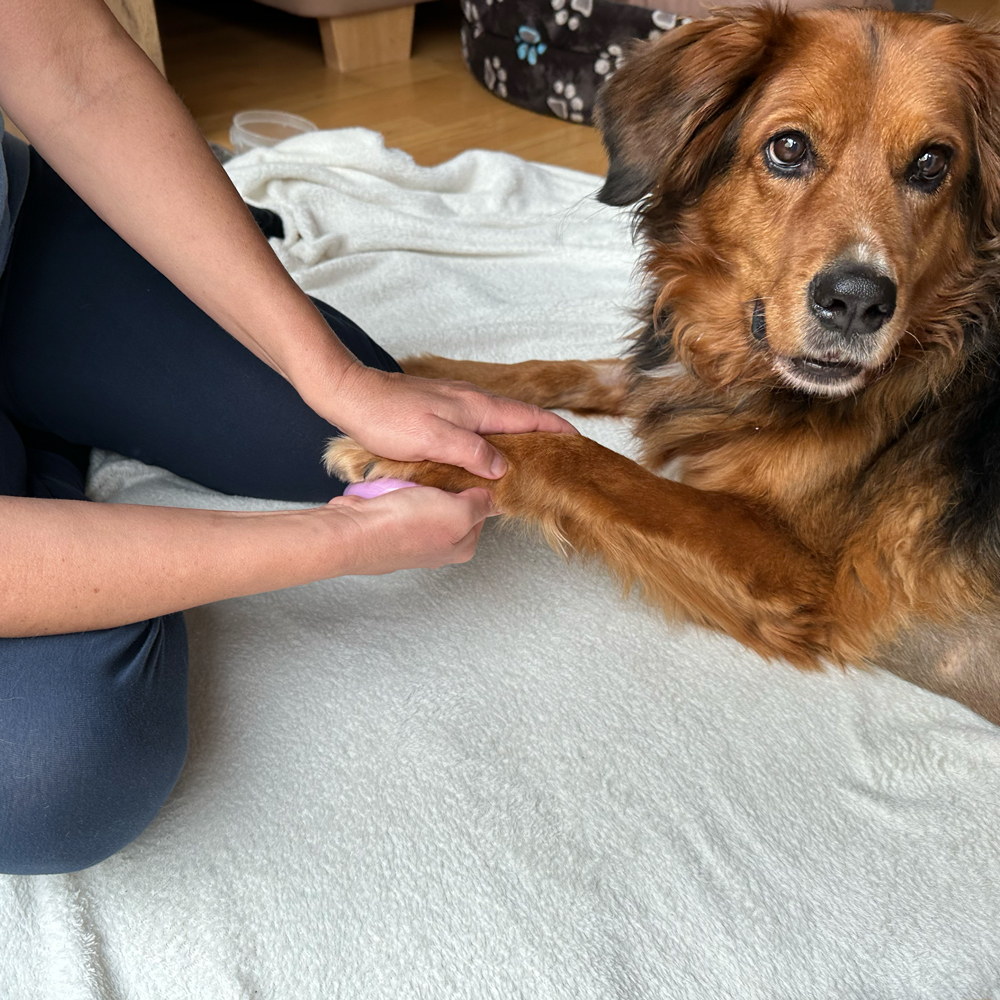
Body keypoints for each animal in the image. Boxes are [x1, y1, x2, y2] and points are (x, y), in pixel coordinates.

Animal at [330, 7, 1000, 728]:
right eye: (789, 148)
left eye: (931, 164)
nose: (857, 302)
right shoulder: (675, 378)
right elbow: (557, 370)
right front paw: (407, 378)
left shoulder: (800, 579)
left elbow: (593, 464)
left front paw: (422, 451)